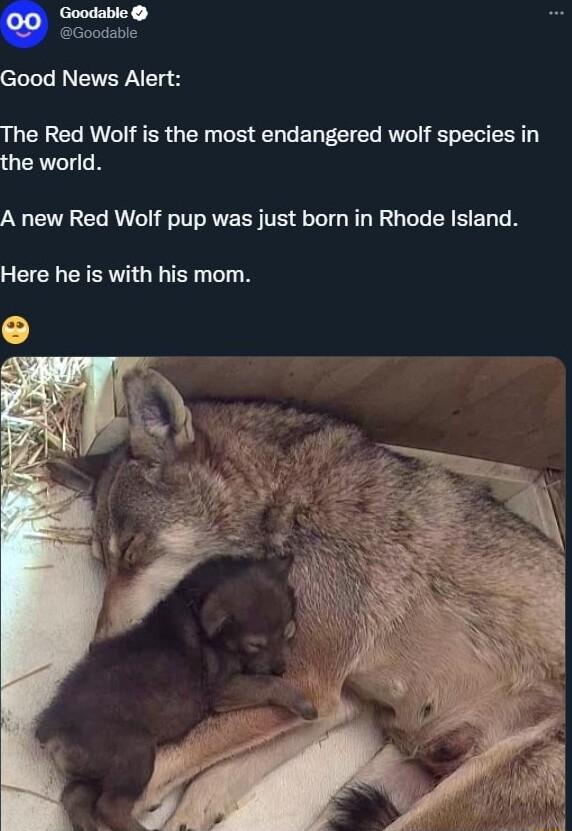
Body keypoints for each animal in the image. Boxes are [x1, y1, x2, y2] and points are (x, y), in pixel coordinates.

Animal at [50, 367, 565, 831]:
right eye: (102, 563)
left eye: (132, 551)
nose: (96, 648)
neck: (289, 502)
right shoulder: (330, 701)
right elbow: (213, 772)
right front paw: (191, 809)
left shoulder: (307, 679)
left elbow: (170, 759)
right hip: (372, 784)